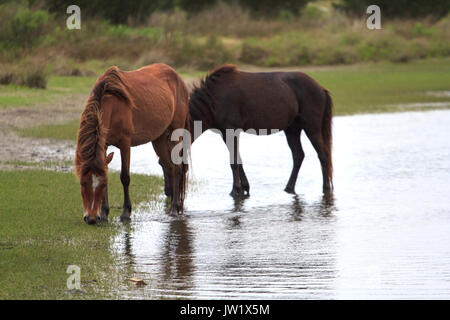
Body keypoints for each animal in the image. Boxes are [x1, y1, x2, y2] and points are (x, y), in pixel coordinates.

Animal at [74, 63, 190, 225]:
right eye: (82, 183)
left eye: (101, 185)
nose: (91, 218)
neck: (113, 104)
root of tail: (178, 78)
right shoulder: (104, 145)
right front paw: (104, 214)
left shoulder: (125, 143)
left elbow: (125, 177)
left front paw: (126, 213)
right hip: (159, 138)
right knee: (169, 167)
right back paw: (173, 206)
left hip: (175, 132)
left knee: (177, 168)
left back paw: (174, 208)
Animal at [188, 65, 332, 198]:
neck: (213, 100)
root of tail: (321, 88)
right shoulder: (225, 133)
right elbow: (238, 159)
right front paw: (244, 187)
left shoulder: (231, 130)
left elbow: (234, 162)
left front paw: (235, 190)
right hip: (292, 129)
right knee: (298, 155)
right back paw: (289, 188)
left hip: (311, 128)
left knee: (323, 155)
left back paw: (325, 188)